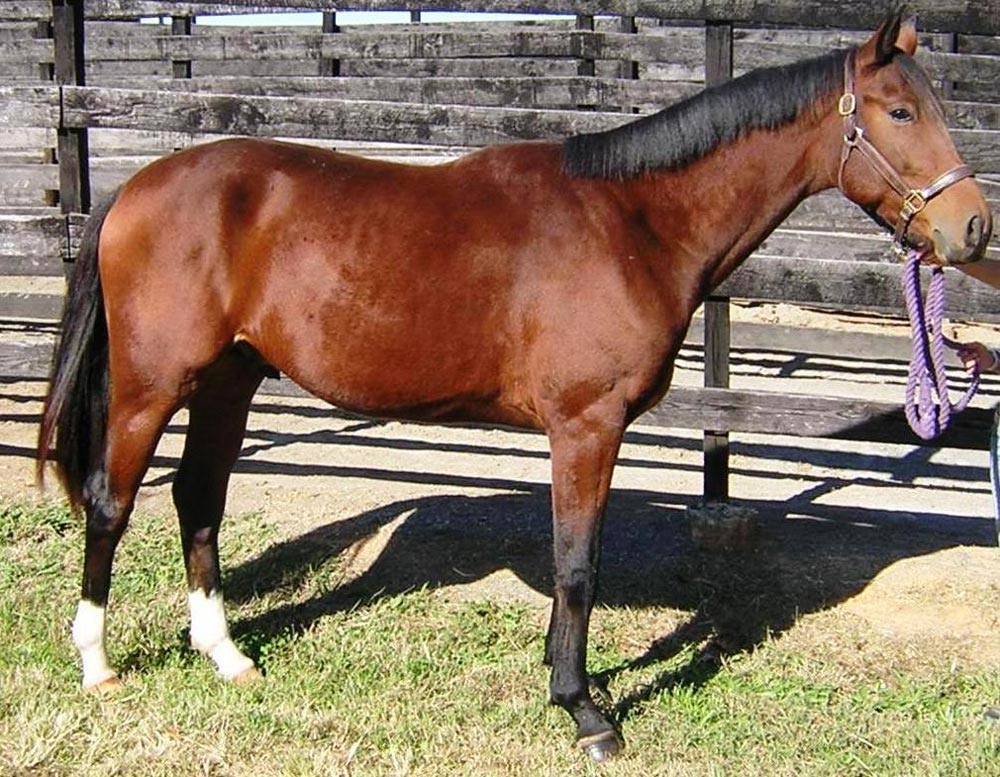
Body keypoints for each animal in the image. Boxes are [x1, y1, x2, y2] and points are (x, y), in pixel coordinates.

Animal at [36, 13, 992, 761]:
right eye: (899, 111)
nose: (973, 227)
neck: (634, 222)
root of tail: (135, 187)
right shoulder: (585, 425)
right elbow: (577, 564)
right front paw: (584, 710)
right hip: (152, 385)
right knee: (112, 502)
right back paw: (97, 664)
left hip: (228, 381)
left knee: (198, 499)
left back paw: (228, 656)